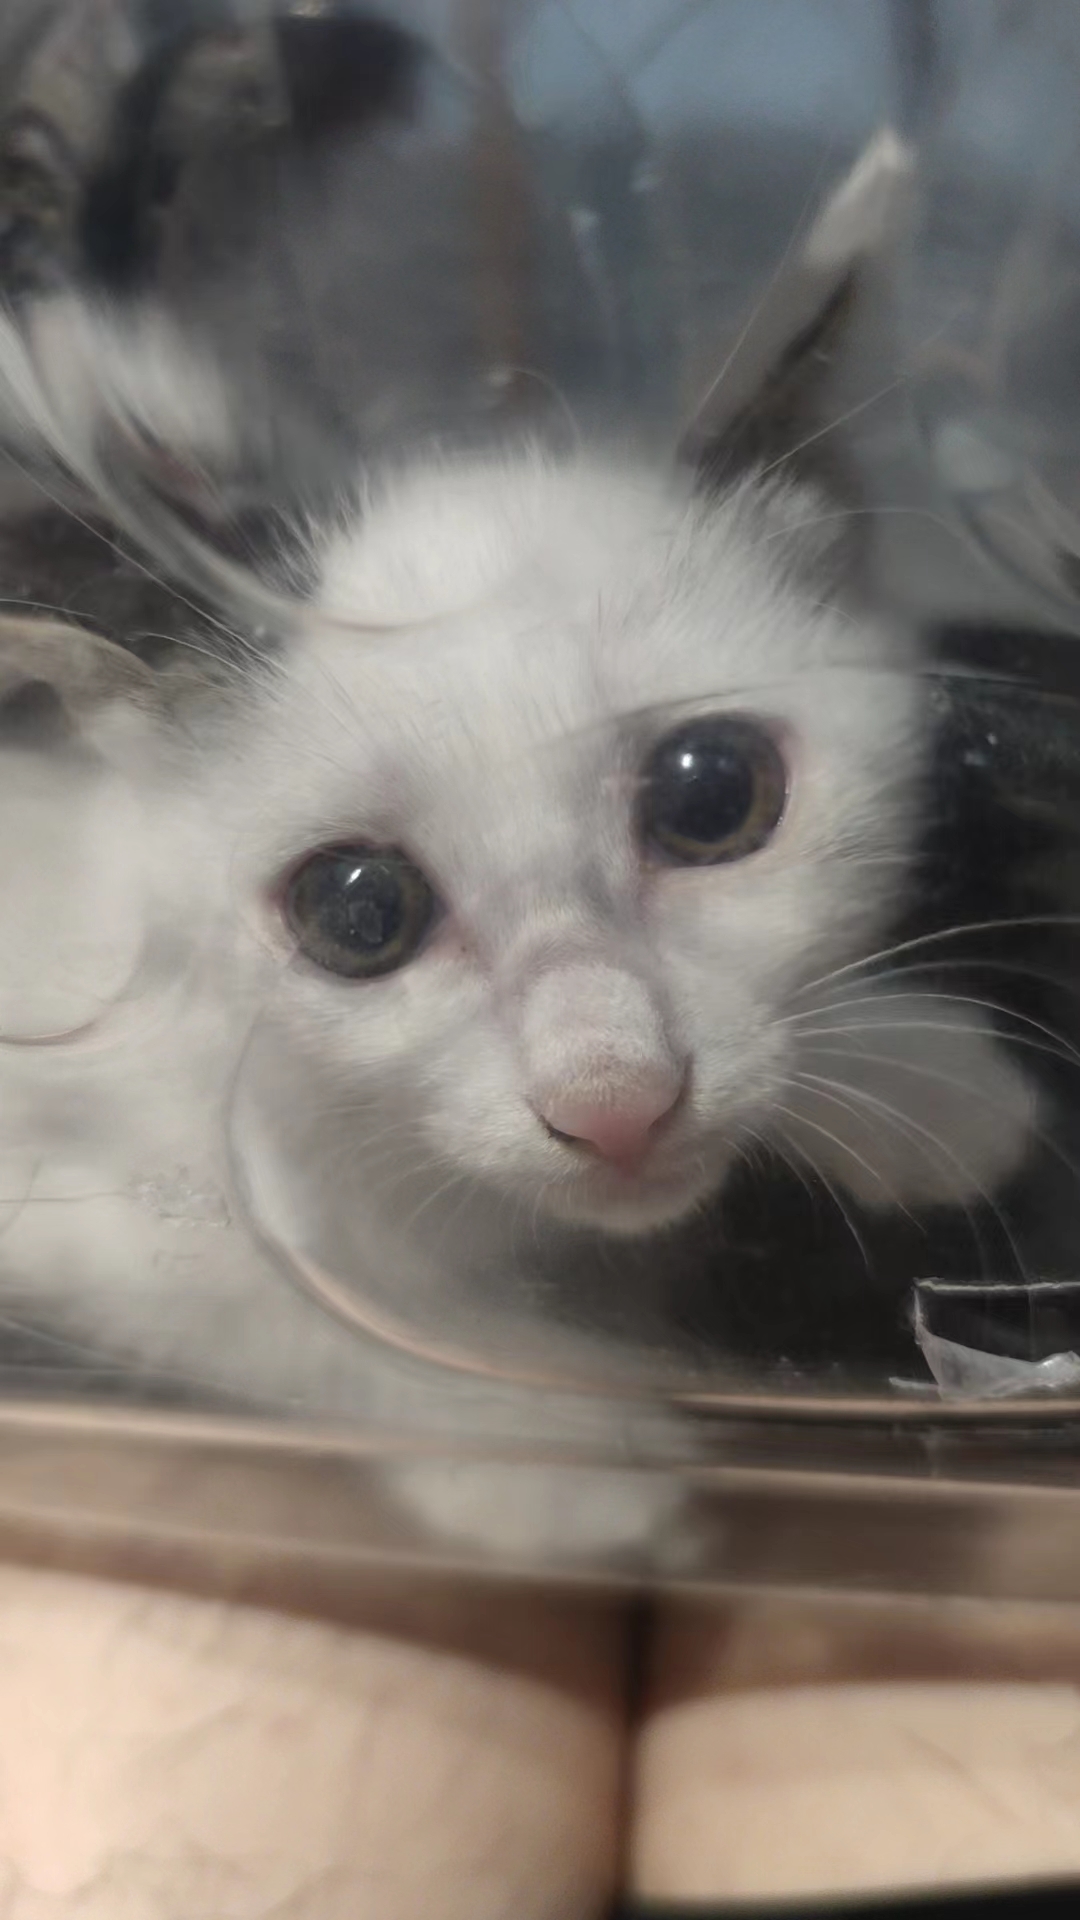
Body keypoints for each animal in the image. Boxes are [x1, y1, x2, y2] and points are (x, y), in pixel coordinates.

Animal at [0, 129, 1039, 1568]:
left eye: (713, 795)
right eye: (357, 910)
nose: (614, 1102)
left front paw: (918, 1077)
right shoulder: (76, 1158)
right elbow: (261, 1292)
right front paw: (549, 1450)